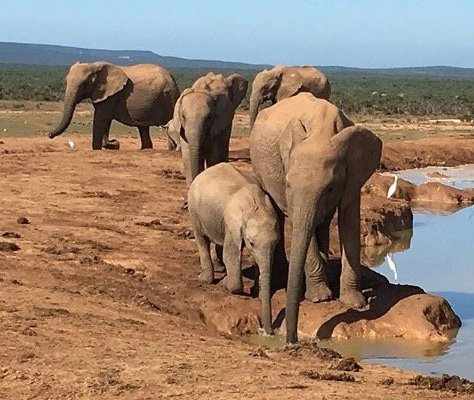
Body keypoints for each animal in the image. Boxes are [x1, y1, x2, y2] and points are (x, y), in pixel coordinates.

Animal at [48, 61, 180, 150]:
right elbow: (105, 121)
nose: (49, 135)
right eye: (66, 81)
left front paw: (103, 146)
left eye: (84, 84)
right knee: (143, 128)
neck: (94, 65)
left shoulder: (111, 96)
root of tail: (173, 79)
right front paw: (112, 144)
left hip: (169, 98)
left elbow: (101, 119)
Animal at [186, 162, 282, 334]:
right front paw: (228, 286)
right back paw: (204, 279)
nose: (269, 332)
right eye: (251, 243)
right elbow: (230, 253)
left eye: (276, 244)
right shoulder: (232, 222)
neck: (256, 204)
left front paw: (256, 292)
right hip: (194, 208)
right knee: (201, 239)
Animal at [250, 92, 384, 342]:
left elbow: (349, 221)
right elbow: (301, 223)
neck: (323, 130)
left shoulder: (352, 175)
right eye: (289, 184)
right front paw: (321, 298)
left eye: (330, 188)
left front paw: (355, 302)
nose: (290, 341)